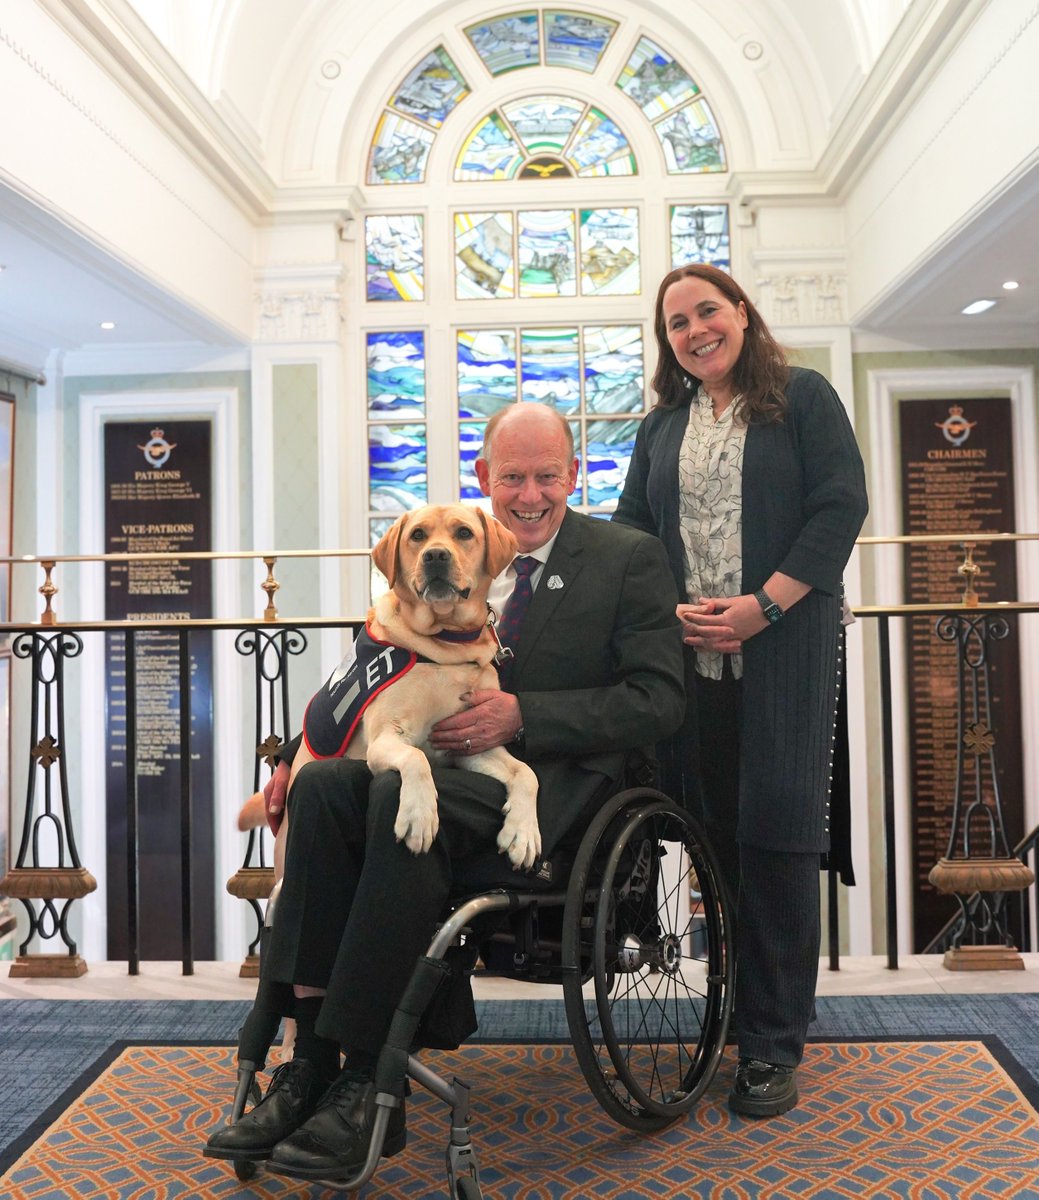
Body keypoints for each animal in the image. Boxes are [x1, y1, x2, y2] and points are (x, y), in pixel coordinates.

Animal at [237, 501, 537, 878]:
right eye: (418, 535)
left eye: (464, 533)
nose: (435, 555)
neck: (445, 647)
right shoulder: (384, 738)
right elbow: (417, 758)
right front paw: (419, 816)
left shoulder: (472, 742)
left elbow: (527, 773)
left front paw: (523, 833)